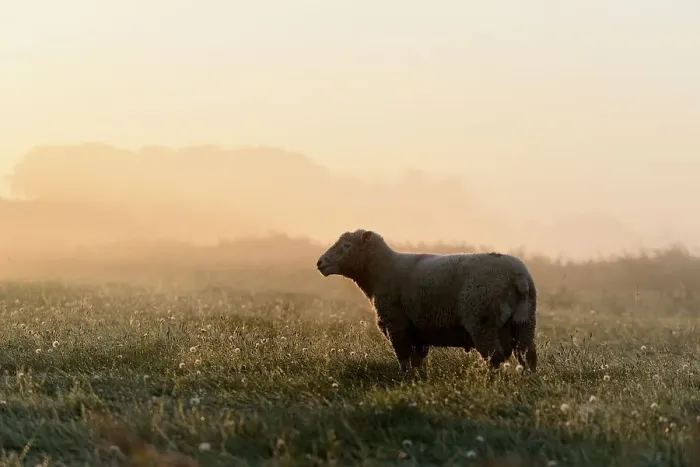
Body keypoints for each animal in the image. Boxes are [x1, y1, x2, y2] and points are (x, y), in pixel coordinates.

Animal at [316, 228, 537, 376]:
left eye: (347, 246)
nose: (320, 263)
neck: (382, 270)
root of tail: (519, 277)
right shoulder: (419, 331)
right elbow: (417, 360)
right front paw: (417, 381)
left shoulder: (397, 325)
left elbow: (404, 358)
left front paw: (405, 380)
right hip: (525, 323)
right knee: (528, 356)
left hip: (483, 323)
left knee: (495, 357)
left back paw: (491, 382)